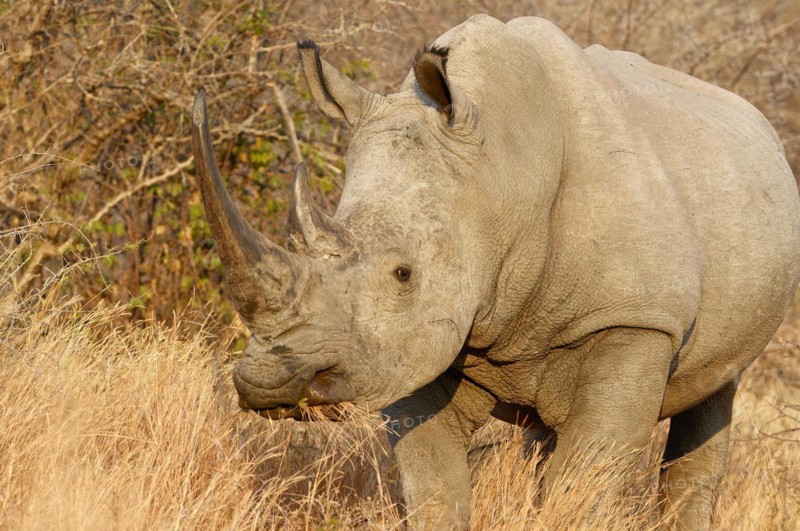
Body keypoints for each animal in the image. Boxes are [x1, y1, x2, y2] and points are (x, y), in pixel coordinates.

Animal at [190, 14, 800, 530]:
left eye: (403, 274)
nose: (268, 383)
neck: (503, 173)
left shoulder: (634, 319)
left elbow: (589, 478)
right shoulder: (417, 339)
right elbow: (434, 485)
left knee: (712, 398)